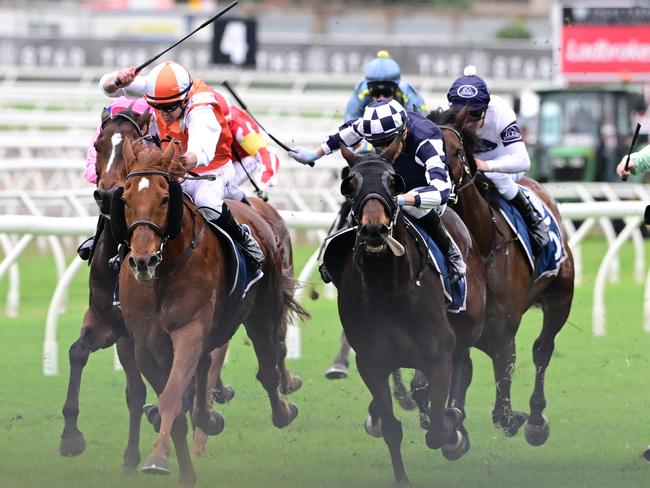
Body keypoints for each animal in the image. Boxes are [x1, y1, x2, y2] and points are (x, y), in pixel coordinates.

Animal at [114, 139, 306, 486]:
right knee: (206, 372)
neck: (163, 275)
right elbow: (175, 398)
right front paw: (183, 469)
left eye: (165, 198)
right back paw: (209, 417)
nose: (142, 261)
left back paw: (282, 410)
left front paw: (157, 457)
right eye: (125, 198)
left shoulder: (189, 330)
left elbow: (173, 395)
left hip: (261, 312)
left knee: (269, 366)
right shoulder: (145, 346)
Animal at [326, 140, 484, 484]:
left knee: (462, 364)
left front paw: (451, 430)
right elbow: (390, 427)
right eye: (350, 184)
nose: (374, 228)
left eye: (392, 181)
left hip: (466, 326)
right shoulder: (370, 362)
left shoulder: (438, 356)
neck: (390, 287)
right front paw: (401, 477)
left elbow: (438, 429)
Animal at [430, 108, 572, 444]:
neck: (481, 245)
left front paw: (516, 417)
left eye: (455, 150)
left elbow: (502, 410)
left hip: (561, 297)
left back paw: (536, 419)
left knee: (542, 349)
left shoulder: (503, 331)